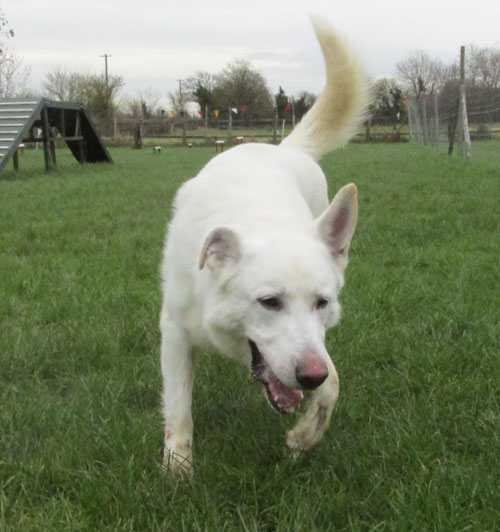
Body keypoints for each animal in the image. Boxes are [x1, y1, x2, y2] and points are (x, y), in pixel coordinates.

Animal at [159, 17, 368, 474]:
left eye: (322, 302)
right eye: (269, 302)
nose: (309, 376)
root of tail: (281, 146)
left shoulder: (318, 349)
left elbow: (333, 386)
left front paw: (303, 438)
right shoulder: (175, 332)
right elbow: (179, 406)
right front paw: (177, 470)